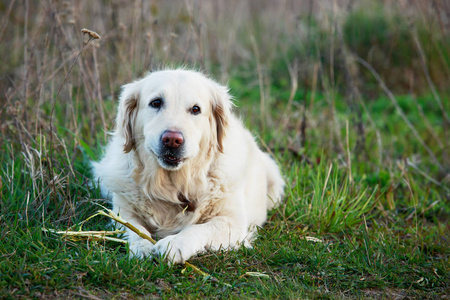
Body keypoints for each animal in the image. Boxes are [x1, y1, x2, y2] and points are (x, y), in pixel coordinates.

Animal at [92, 69, 284, 262]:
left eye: (195, 109)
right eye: (156, 102)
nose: (172, 140)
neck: (173, 184)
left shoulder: (232, 222)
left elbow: (199, 228)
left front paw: (174, 243)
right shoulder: (122, 212)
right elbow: (134, 228)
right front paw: (141, 246)